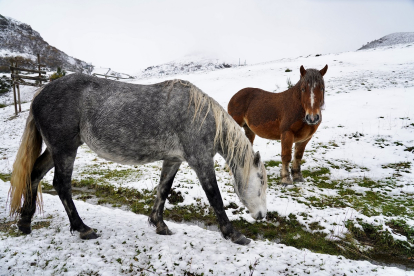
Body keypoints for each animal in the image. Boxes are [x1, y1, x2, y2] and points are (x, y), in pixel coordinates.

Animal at [11, 74, 268, 246]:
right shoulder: (201, 160)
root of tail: (39, 95)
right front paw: (234, 234)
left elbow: (163, 190)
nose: (262, 215)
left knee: (35, 174)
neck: (199, 114)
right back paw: (83, 229)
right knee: (61, 185)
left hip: (56, 150)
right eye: (262, 181)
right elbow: (215, 197)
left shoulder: (173, 160)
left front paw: (160, 225)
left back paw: (25, 222)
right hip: (65, 150)